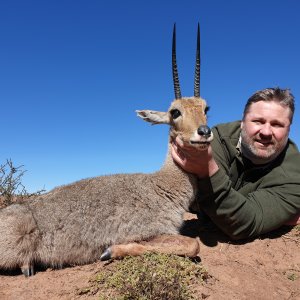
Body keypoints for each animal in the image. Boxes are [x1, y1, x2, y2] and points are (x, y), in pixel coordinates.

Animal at [0, 23, 213, 276]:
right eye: (175, 112)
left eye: (206, 108)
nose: (204, 132)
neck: (161, 185)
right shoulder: (150, 231)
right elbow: (192, 245)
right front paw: (110, 251)